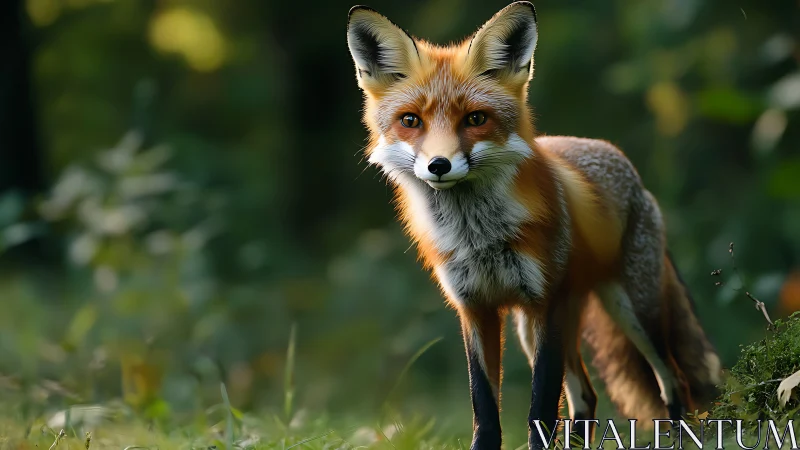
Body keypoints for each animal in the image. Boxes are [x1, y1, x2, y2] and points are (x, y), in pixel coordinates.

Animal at [345, 2, 721, 449]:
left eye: (475, 118)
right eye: (410, 121)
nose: (439, 165)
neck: (480, 238)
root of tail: (623, 163)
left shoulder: (545, 305)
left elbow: (541, 403)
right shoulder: (475, 308)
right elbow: (483, 402)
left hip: (631, 311)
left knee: (672, 380)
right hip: (536, 326)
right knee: (586, 397)